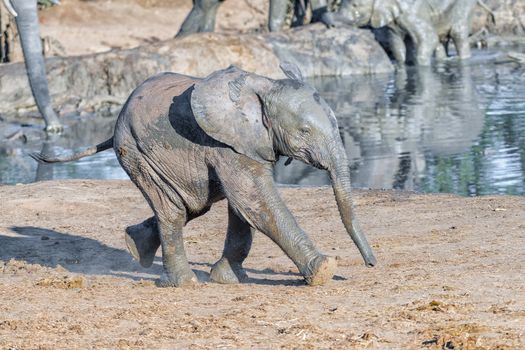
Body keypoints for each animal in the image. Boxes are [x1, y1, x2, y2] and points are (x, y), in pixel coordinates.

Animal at [32, 63, 374, 288]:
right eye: (304, 131)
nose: (371, 264)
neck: (263, 86)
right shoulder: (226, 144)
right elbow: (254, 201)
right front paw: (324, 271)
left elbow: (243, 207)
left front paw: (227, 278)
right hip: (139, 153)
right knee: (173, 210)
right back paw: (183, 283)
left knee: (192, 206)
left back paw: (134, 247)